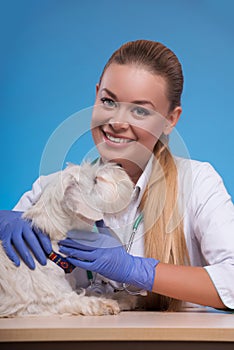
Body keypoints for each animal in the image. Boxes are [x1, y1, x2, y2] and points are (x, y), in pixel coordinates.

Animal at [0, 161, 133, 318]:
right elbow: (81, 300)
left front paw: (123, 298)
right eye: (95, 180)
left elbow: (92, 292)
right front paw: (107, 304)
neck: (52, 247)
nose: (120, 165)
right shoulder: (42, 302)